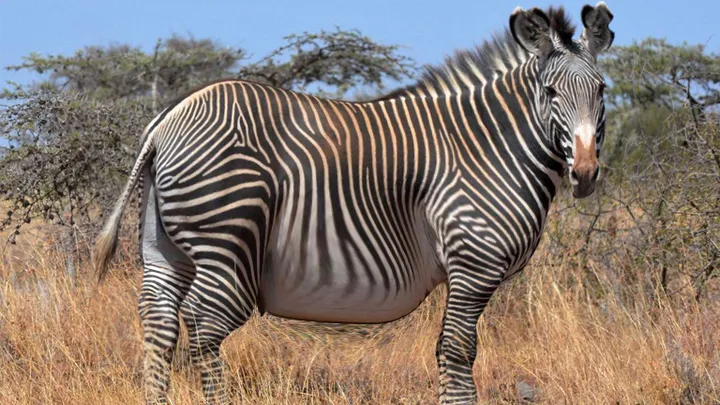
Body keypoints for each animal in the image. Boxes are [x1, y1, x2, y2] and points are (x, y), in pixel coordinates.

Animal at [93, 3, 614, 404]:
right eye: (550, 92)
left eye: (602, 91)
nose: (586, 174)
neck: (489, 145)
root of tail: (169, 119)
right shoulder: (474, 264)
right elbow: (457, 351)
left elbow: (452, 350)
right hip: (228, 242)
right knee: (203, 326)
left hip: (164, 248)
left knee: (159, 323)